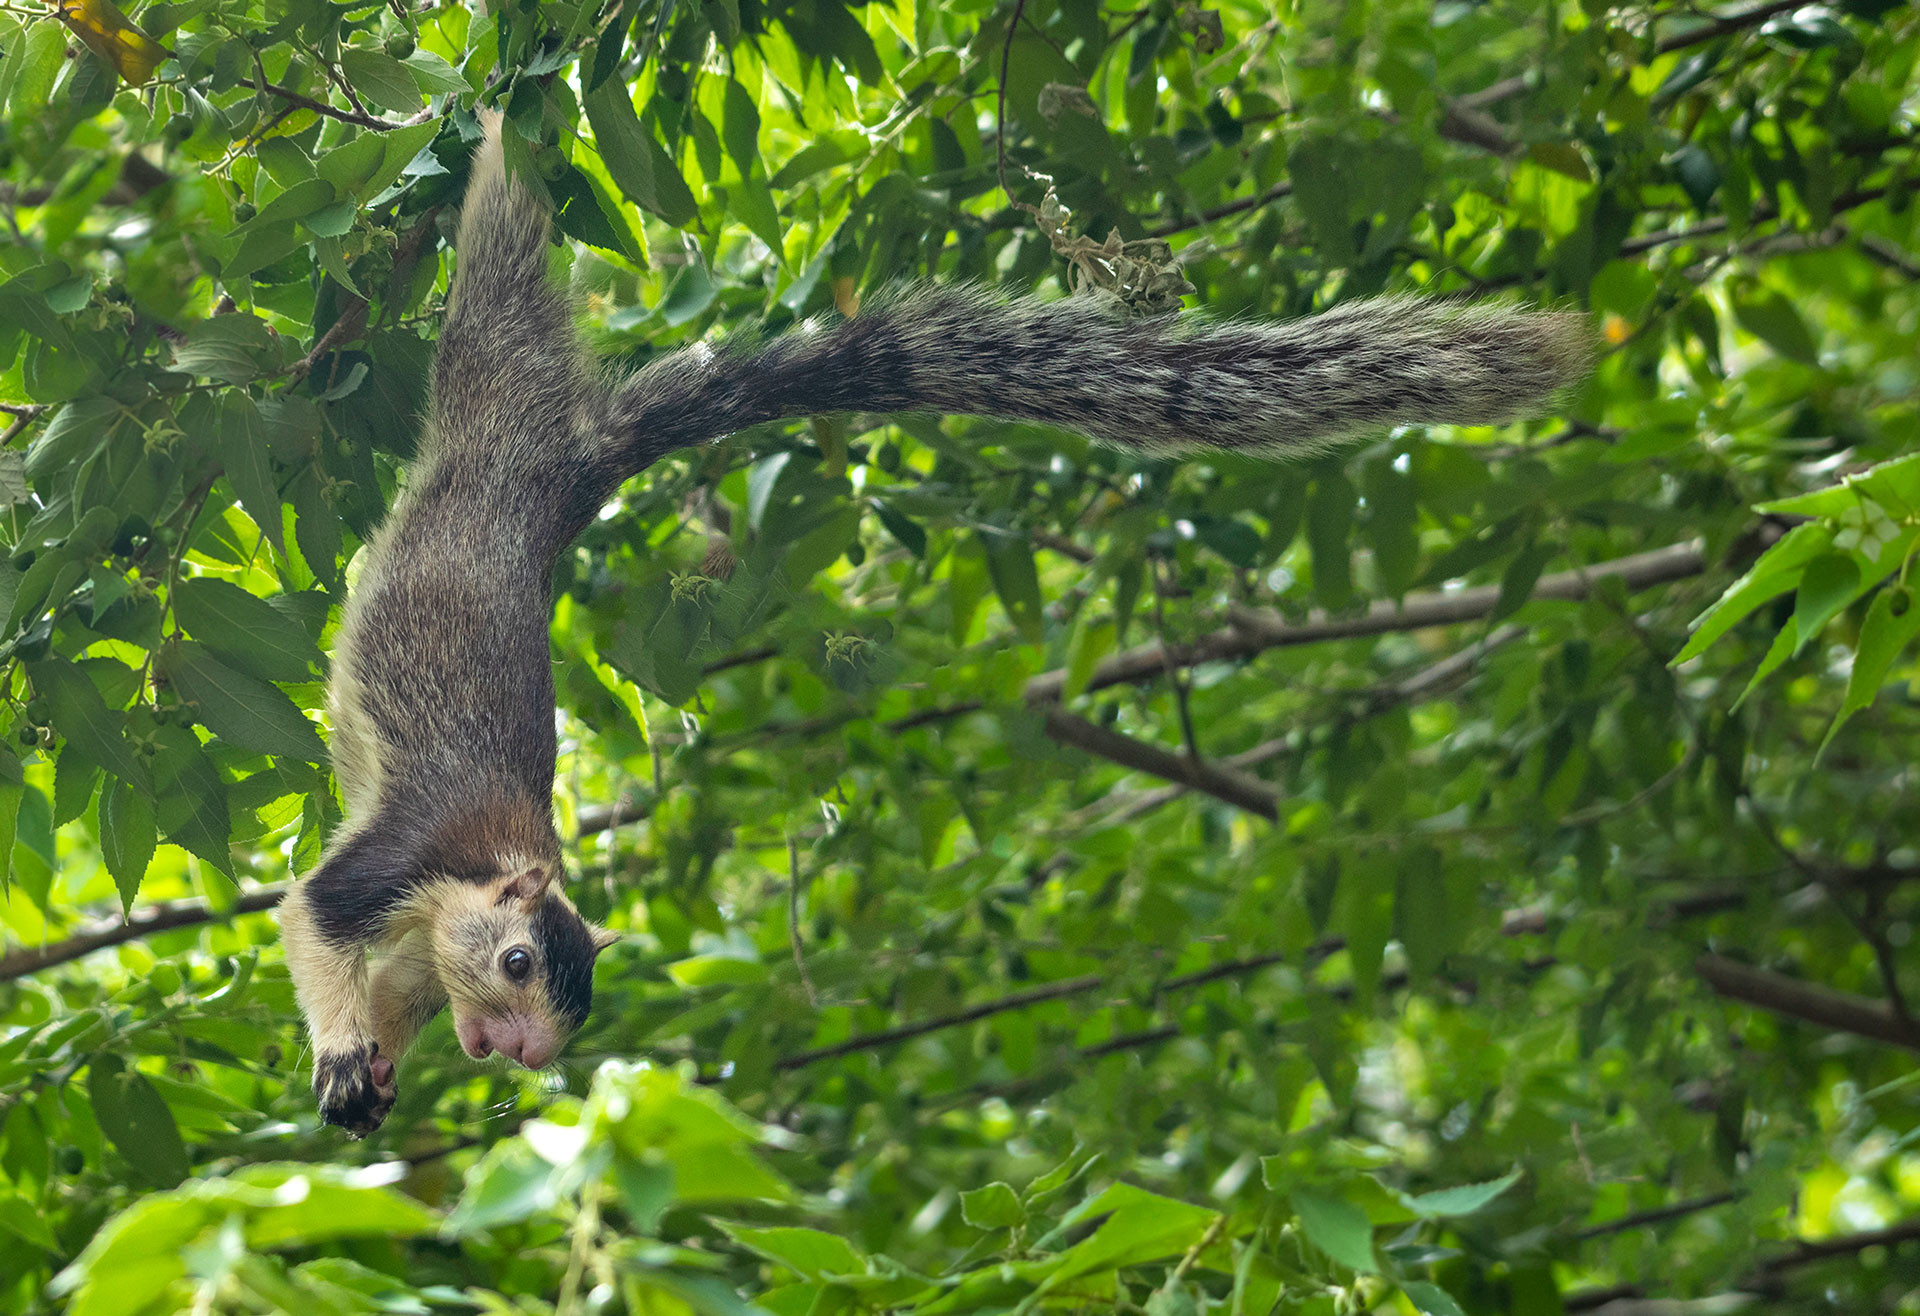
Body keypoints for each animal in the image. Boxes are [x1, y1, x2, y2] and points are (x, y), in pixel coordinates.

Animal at [277, 110, 1593, 1135]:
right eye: (513, 963)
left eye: (567, 1006)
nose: (526, 1050)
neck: (467, 890)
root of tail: (577, 464)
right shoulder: (403, 858)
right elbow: (311, 909)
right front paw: (344, 1052)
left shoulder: (420, 955)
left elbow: (382, 990)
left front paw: (374, 1066)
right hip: (494, 387)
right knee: (502, 248)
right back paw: (501, 117)